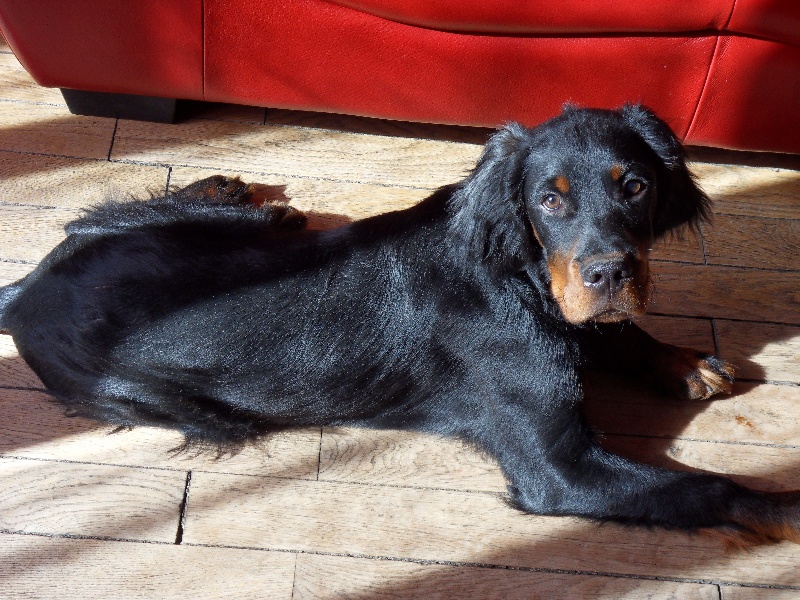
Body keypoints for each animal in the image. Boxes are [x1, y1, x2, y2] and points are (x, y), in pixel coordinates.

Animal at [0, 105, 797, 547]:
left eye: (635, 186)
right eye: (550, 199)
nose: (609, 274)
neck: (516, 272)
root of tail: (23, 295)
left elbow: (614, 333)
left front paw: (683, 359)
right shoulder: (559, 468)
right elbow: (701, 488)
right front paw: (782, 507)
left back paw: (227, 185)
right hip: (189, 406)